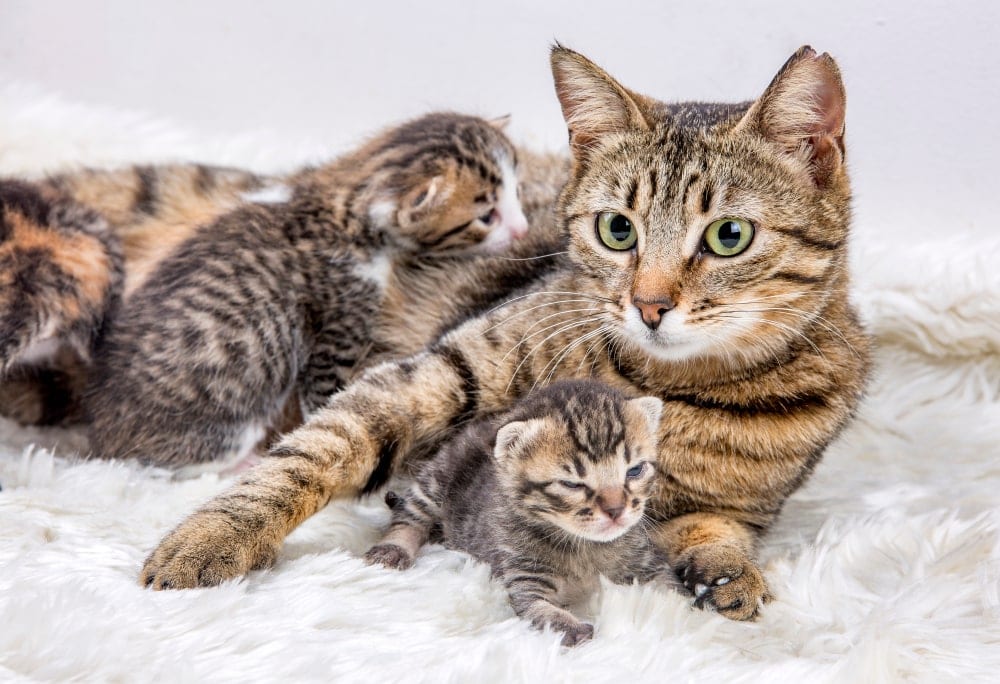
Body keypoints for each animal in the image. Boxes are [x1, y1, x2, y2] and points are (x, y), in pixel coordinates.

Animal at [364, 380, 668, 648]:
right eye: (572, 484)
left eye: (635, 470)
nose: (616, 510)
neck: (584, 546)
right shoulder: (524, 573)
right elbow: (536, 605)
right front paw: (566, 624)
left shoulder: (648, 562)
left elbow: (667, 589)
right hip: (436, 479)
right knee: (409, 513)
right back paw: (393, 547)